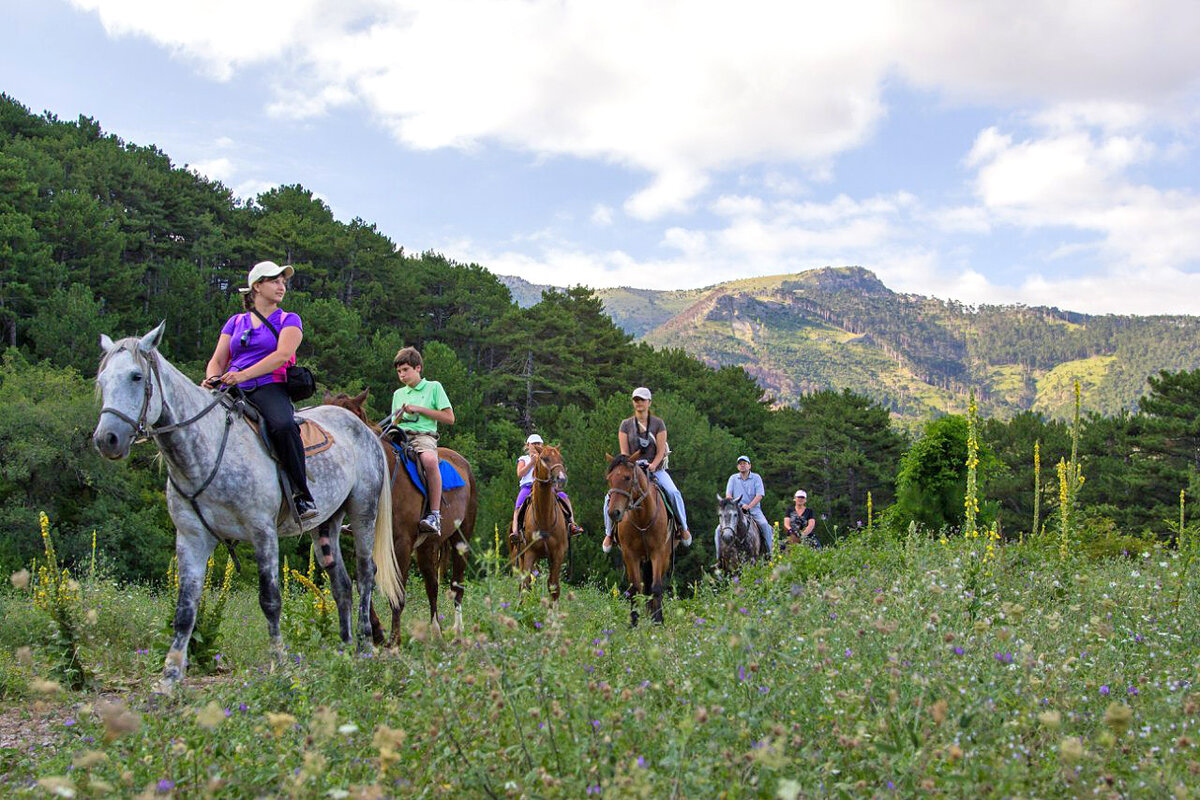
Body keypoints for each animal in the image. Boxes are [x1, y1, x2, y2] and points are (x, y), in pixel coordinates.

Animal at [93, 321, 403, 690]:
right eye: (102, 380)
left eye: (136, 377)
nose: (106, 439)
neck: (208, 448)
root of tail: (364, 430)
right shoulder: (192, 537)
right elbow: (185, 608)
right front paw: (170, 676)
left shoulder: (262, 532)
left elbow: (270, 600)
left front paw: (279, 664)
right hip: (325, 525)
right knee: (341, 583)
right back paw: (342, 652)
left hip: (363, 512)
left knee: (365, 575)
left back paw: (365, 648)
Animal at [328, 388, 482, 642]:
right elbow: (363, 583)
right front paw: (377, 632)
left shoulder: (401, 543)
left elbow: (398, 593)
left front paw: (394, 641)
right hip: (427, 546)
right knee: (432, 586)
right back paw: (436, 632)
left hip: (461, 539)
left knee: (456, 584)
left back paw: (458, 632)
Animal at [513, 443, 568, 599]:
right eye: (544, 458)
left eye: (561, 458)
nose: (561, 479)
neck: (544, 518)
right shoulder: (530, 552)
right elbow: (525, 584)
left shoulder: (558, 553)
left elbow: (553, 586)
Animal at [600, 450, 676, 623]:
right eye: (609, 479)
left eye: (627, 477)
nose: (613, 512)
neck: (642, 517)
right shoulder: (630, 555)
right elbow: (635, 588)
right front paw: (634, 621)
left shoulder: (658, 553)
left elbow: (656, 587)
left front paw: (658, 620)